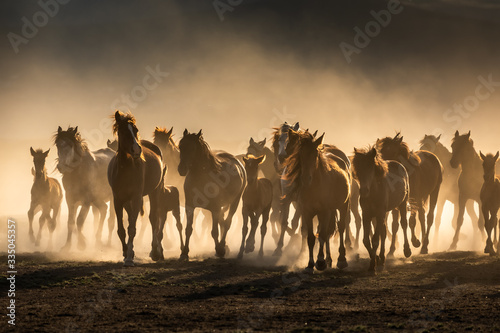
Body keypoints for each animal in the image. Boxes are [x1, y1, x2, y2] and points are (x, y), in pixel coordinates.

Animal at [108, 110, 164, 266]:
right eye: (122, 131)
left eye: (135, 130)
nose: (137, 150)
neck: (125, 169)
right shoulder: (118, 199)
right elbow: (121, 229)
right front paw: (126, 252)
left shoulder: (136, 196)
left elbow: (132, 228)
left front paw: (128, 258)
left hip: (155, 191)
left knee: (154, 218)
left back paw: (155, 252)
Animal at [178, 128, 246, 258]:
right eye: (180, 146)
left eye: (192, 148)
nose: (181, 169)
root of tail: (238, 163)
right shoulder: (190, 206)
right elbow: (188, 229)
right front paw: (184, 252)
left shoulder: (215, 208)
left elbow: (214, 231)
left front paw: (219, 250)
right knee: (223, 222)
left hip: (235, 202)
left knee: (227, 223)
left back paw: (223, 246)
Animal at [284, 131, 350, 272]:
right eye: (300, 155)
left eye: (315, 154)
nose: (306, 178)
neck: (314, 186)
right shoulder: (307, 212)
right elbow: (311, 237)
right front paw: (310, 265)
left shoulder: (325, 211)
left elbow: (323, 234)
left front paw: (320, 262)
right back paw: (329, 259)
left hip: (343, 205)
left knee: (341, 227)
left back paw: (341, 260)